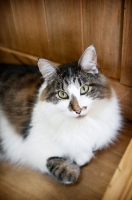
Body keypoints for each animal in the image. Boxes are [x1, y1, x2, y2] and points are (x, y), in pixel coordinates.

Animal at [0, 45, 121, 184]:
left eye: (84, 89)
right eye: (62, 94)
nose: (78, 110)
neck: (79, 125)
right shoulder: (31, 147)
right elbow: (55, 162)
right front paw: (72, 168)